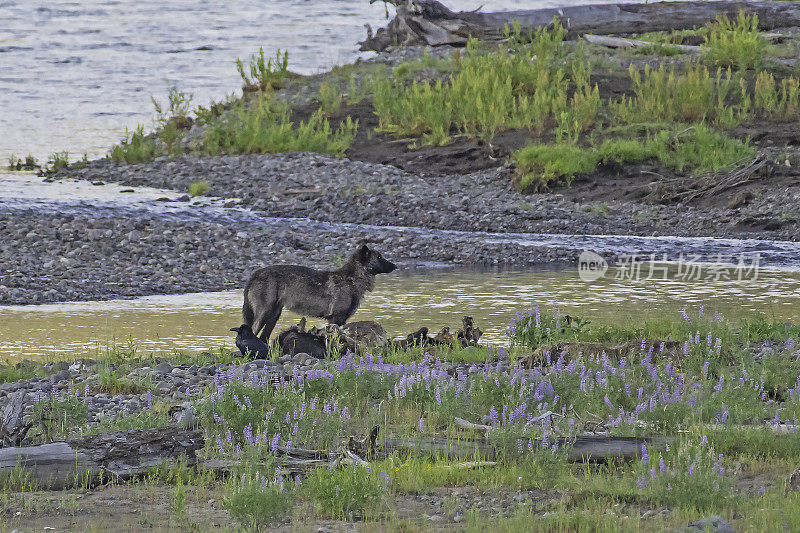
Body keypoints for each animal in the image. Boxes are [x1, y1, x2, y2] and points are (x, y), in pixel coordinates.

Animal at [242, 243, 396, 338]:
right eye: (379, 257)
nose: (395, 265)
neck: (350, 280)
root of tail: (254, 275)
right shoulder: (336, 319)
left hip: (274, 316)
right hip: (264, 314)